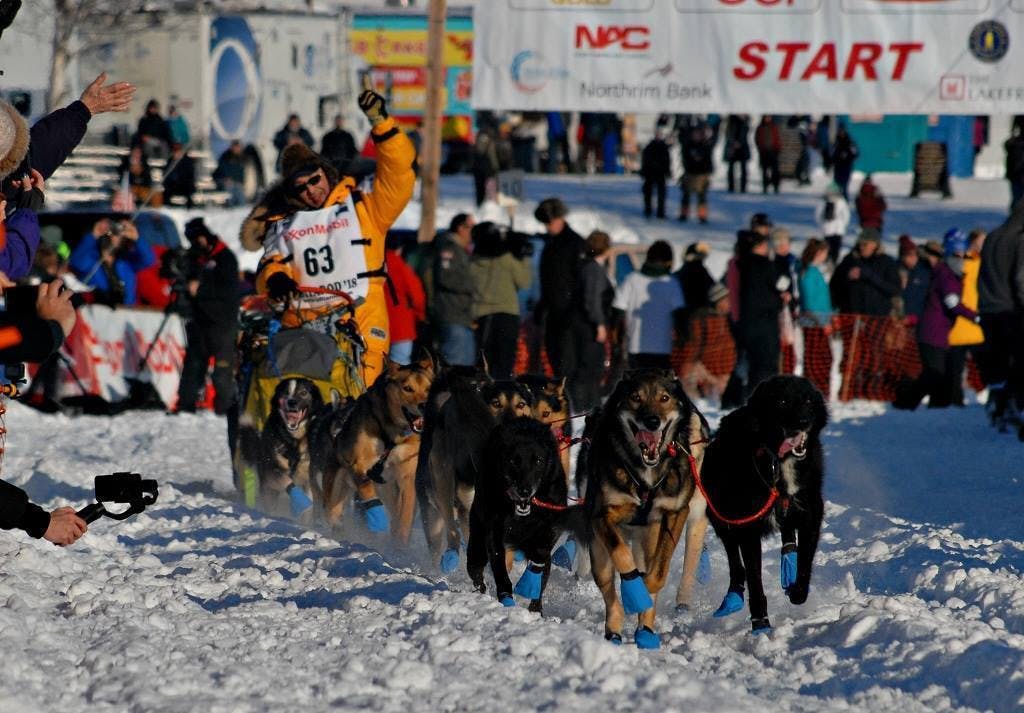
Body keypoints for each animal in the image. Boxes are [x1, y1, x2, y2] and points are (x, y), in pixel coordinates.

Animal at [700, 376, 827, 631]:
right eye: (782, 401)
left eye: (808, 400)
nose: (803, 421)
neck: (779, 463)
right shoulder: (747, 527)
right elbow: (754, 578)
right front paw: (760, 622)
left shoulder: (811, 514)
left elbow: (805, 561)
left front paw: (798, 591)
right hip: (723, 520)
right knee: (735, 563)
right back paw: (734, 595)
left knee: (788, 536)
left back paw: (789, 561)